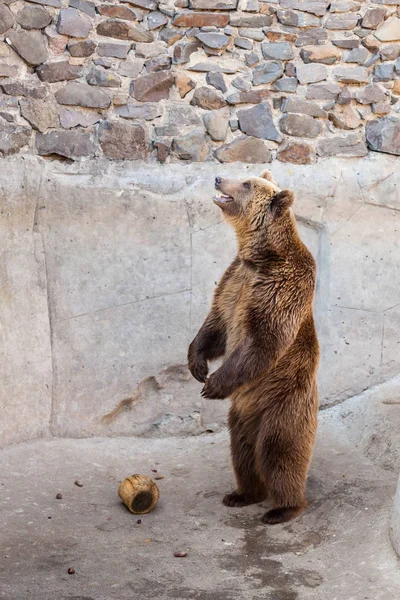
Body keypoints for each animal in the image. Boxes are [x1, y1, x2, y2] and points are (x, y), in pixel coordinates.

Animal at [189, 171, 320, 524]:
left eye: (247, 184)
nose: (218, 178)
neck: (260, 257)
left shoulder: (281, 289)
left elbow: (263, 340)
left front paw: (213, 384)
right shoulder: (235, 279)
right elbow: (216, 326)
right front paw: (197, 365)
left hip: (284, 402)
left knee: (280, 451)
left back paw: (283, 508)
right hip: (241, 416)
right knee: (243, 452)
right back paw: (242, 494)